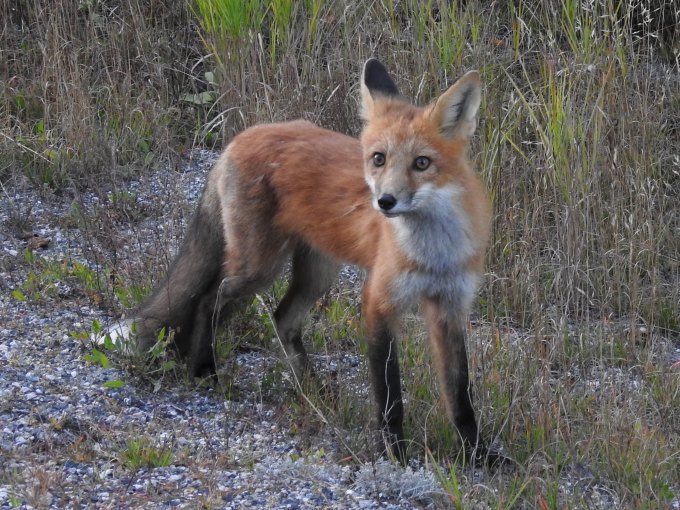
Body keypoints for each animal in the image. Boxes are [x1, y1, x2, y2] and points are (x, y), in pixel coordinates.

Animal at [124, 58, 496, 464]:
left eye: (422, 163)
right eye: (378, 159)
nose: (384, 202)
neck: (432, 253)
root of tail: (242, 136)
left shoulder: (450, 307)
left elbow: (460, 396)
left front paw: (479, 456)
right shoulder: (378, 302)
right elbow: (389, 396)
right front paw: (394, 451)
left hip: (318, 273)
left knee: (282, 318)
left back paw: (314, 390)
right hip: (259, 267)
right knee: (210, 299)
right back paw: (206, 370)